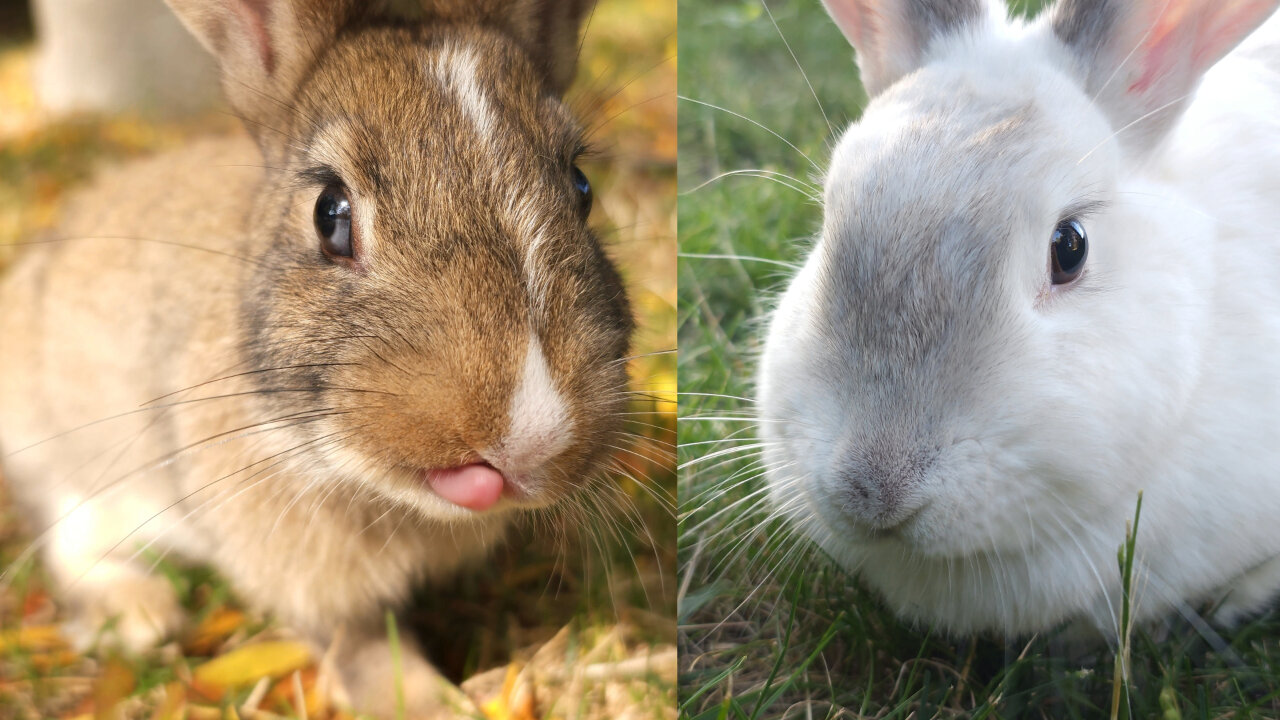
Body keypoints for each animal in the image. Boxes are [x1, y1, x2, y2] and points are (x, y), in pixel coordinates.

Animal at [0, 0, 632, 707]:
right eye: (330, 213)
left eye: (581, 187)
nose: (532, 440)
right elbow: (357, 641)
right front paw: (427, 702)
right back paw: (139, 614)